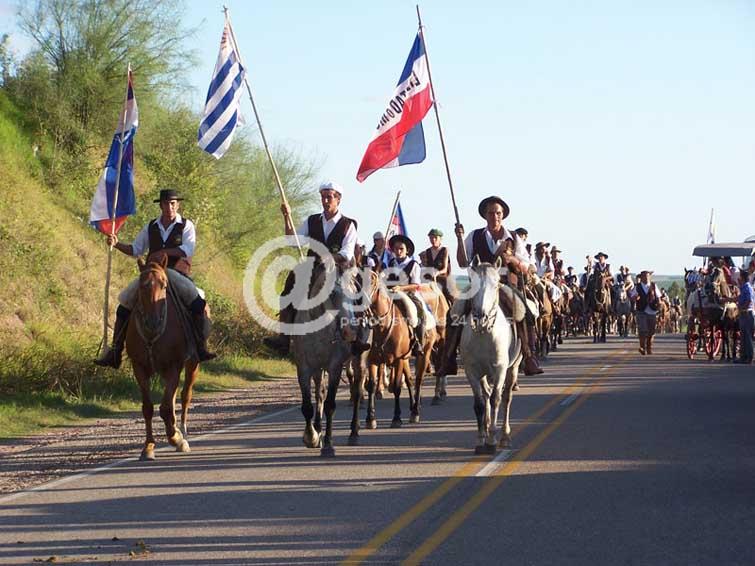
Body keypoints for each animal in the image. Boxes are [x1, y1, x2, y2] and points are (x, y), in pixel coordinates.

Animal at [127, 256, 199, 461]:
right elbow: (148, 408)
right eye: (141, 285)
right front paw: (148, 447)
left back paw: (182, 434)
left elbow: (166, 408)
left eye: (164, 284)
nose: (152, 321)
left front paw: (175, 438)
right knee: (172, 398)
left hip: (192, 365)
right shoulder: (139, 367)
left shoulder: (174, 366)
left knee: (185, 396)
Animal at [291, 259, 359, 457]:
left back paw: (354, 432)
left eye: (354, 291)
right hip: (319, 368)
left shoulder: (334, 367)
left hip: (359, 361)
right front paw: (312, 437)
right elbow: (308, 405)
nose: (351, 331)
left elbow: (330, 405)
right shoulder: (304, 368)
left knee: (358, 391)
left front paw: (328, 444)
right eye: (333, 293)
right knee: (319, 394)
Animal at [462, 257, 522, 454]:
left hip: (513, 368)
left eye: (496, 284)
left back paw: (504, 436)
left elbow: (496, 399)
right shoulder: (472, 371)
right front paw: (481, 439)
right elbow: (479, 403)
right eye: (472, 283)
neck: (484, 335)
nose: (481, 316)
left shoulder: (500, 369)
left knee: (506, 398)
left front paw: (492, 441)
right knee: (486, 394)